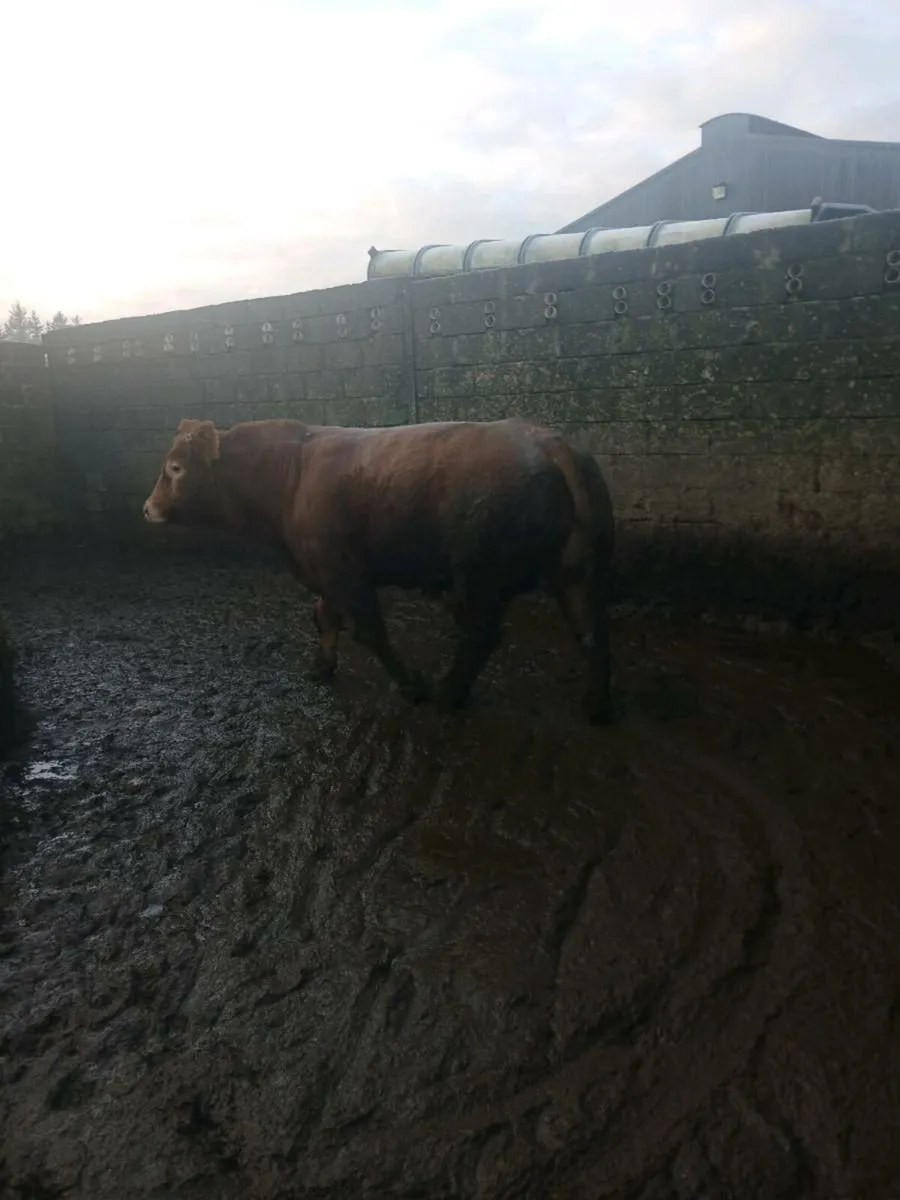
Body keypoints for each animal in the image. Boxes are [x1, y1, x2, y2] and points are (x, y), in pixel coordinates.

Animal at [143, 417, 615, 722]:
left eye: (175, 468)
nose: (148, 508)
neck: (289, 475)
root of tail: (549, 442)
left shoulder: (345, 572)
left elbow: (370, 630)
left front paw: (411, 687)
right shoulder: (326, 572)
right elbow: (325, 617)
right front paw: (322, 665)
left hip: (476, 575)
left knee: (480, 635)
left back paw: (447, 693)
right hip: (576, 570)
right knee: (590, 628)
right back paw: (595, 704)